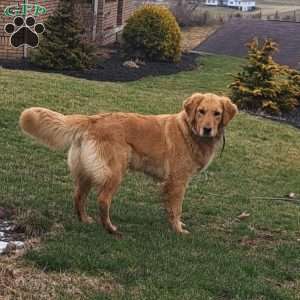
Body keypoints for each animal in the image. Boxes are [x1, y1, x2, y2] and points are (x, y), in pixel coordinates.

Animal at [19, 93, 238, 234]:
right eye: (201, 111)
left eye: (217, 113)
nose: (207, 129)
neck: (189, 131)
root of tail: (93, 119)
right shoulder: (178, 181)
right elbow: (176, 208)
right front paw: (177, 229)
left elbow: (171, 208)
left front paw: (176, 225)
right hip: (114, 172)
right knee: (103, 200)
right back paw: (110, 228)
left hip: (88, 172)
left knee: (78, 196)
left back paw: (85, 220)